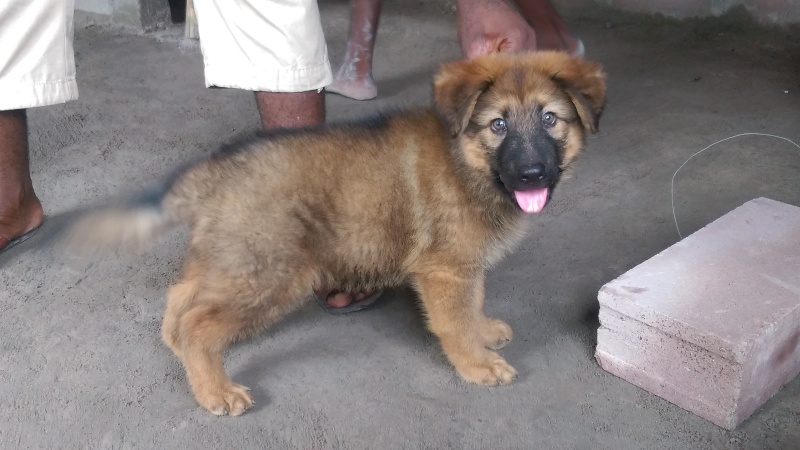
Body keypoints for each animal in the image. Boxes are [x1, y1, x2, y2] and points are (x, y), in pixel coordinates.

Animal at [70, 51, 608, 414]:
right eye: (498, 125)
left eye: (549, 119)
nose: (532, 174)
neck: (469, 163)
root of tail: (217, 170)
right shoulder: (446, 271)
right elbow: (454, 322)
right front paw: (475, 365)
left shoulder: (462, 268)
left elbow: (473, 305)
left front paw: (484, 332)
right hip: (269, 275)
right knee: (200, 324)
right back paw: (214, 389)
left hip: (232, 260)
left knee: (181, 295)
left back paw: (174, 343)